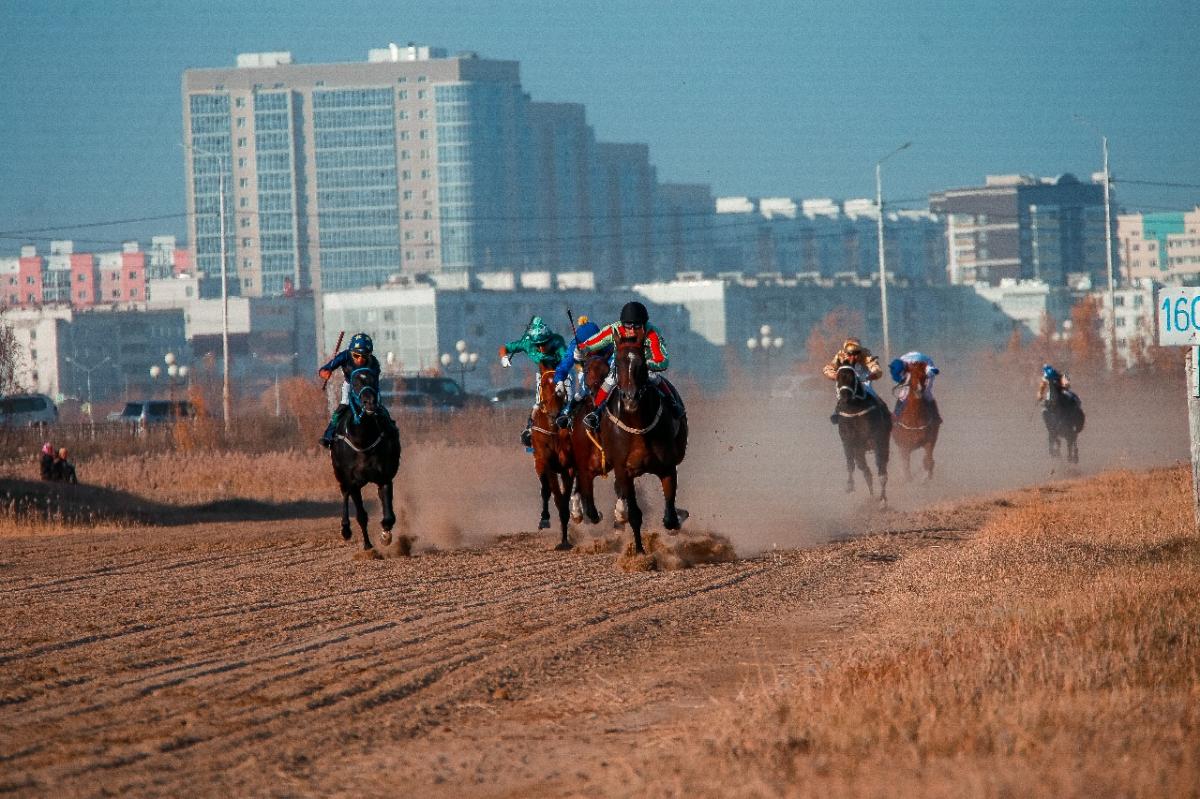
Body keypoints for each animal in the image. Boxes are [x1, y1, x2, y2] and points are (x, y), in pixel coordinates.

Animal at [328, 364, 403, 547]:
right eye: (355, 383)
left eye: (374, 380)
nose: (370, 402)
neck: (363, 440)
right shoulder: (353, 481)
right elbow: (361, 515)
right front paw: (368, 546)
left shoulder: (384, 477)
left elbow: (389, 516)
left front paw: (385, 536)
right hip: (340, 475)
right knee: (344, 493)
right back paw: (345, 529)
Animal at [530, 364, 576, 547]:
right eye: (542, 385)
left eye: (560, 387)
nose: (555, 412)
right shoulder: (547, 463)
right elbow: (555, 496)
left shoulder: (568, 467)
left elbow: (564, 499)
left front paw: (564, 540)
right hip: (538, 463)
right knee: (545, 490)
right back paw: (544, 518)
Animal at [835, 364, 892, 501]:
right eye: (838, 377)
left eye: (852, 378)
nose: (844, 396)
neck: (854, 410)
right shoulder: (849, 442)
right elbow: (852, 464)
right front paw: (850, 486)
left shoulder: (877, 439)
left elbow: (881, 468)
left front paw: (883, 500)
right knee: (865, 470)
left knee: (880, 467)